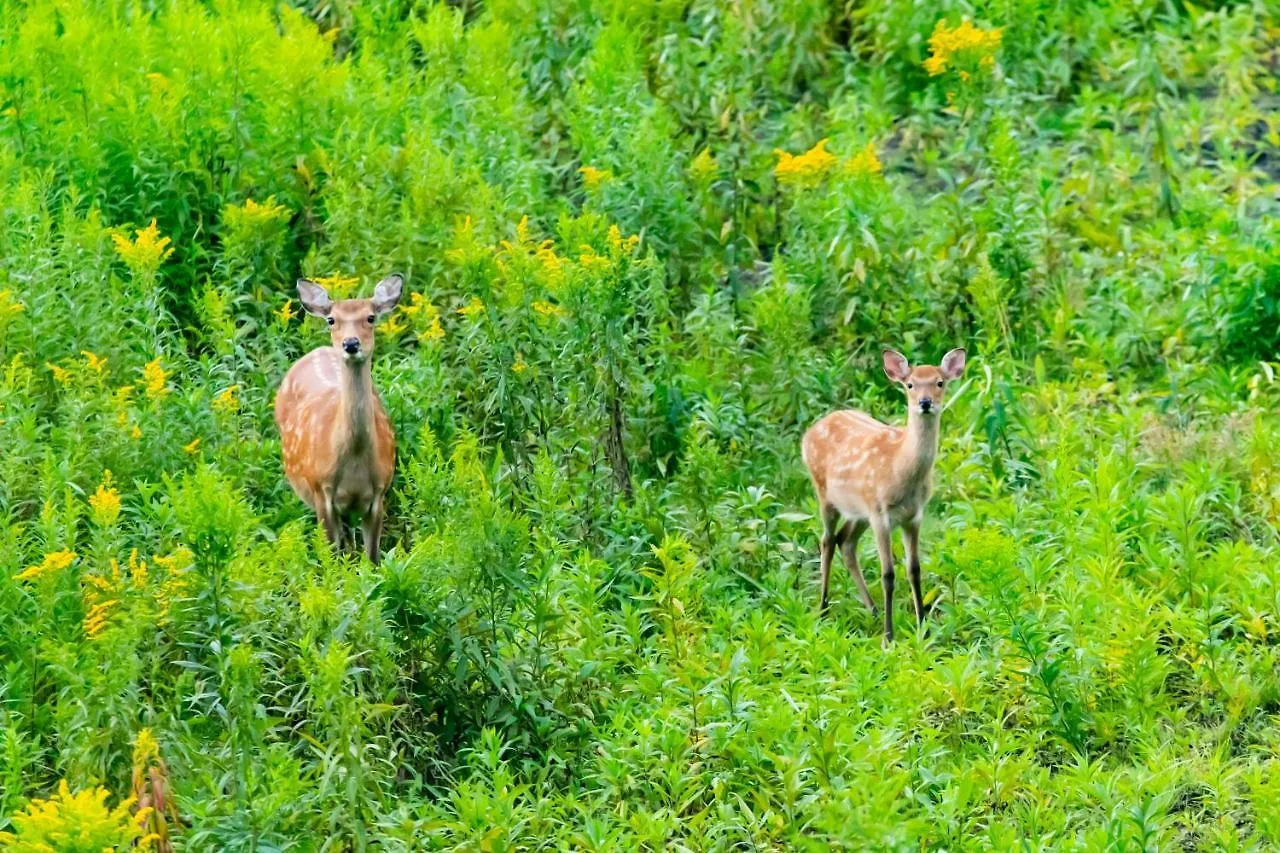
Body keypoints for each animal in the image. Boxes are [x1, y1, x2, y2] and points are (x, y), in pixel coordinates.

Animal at [272, 275, 401, 560]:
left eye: (371, 317)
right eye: (332, 319)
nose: (351, 344)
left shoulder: (379, 493)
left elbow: (372, 558)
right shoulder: (321, 491)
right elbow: (332, 556)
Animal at [803, 345, 962, 637]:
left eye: (939, 383)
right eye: (910, 384)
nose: (925, 403)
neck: (901, 470)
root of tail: (809, 432)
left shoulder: (913, 516)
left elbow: (914, 569)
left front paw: (923, 628)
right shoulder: (880, 514)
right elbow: (888, 574)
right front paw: (889, 637)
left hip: (858, 511)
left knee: (846, 542)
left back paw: (873, 610)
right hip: (825, 495)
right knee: (827, 541)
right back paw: (823, 608)